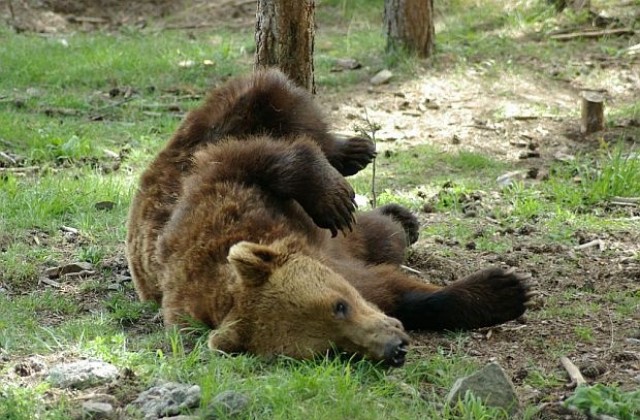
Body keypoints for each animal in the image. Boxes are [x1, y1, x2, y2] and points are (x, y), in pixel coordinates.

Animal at [126, 67, 536, 366]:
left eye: (339, 306)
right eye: (330, 348)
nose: (394, 349)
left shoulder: (216, 196)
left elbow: (247, 158)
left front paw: (505, 289)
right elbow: (393, 290)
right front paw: (500, 292)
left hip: (197, 139)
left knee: (272, 99)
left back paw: (349, 155)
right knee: (379, 233)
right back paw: (399, 217)